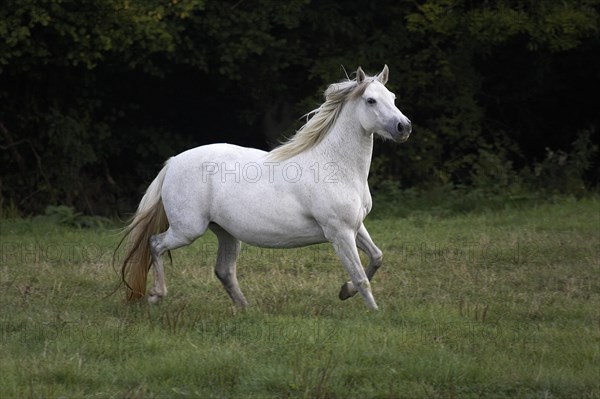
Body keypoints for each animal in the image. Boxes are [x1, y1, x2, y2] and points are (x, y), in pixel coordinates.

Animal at [119, 65, 412, 310]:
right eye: (371, 100)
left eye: (393, 97)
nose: (404, 127)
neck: (335, 166)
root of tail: (172, 163)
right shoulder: (339, 233)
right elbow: (361, 276)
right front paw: (374, 313)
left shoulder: (355, 227)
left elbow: (377, 257)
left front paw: (345, 292)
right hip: (188, 230)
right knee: (156, 244)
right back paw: (157, 296)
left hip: (226, 232)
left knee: (223, 271)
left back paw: (246, 310)